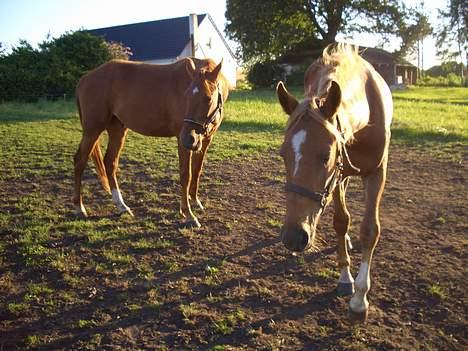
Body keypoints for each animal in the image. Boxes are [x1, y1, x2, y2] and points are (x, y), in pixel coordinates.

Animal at [72, 57, 230, 228]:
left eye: (207, 98)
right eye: (186, 95)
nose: (188, 138)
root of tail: (84, 79)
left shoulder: (205, 140)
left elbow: (196, 171)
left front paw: (194, 202)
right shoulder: (182, 142)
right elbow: (185, 175)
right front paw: (188, 214)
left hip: (117, 130)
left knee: (110, 162)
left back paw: (122, 206)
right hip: (92, 130)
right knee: (80, 161)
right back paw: (79, 207)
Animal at [276, 44, 394, 324]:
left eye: (325, 155)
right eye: (283, 155)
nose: (293, 237)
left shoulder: (377, 172)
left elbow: (370, 230)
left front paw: (360, 300)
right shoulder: (338, 176)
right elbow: (341, 221)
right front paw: (345, 277)